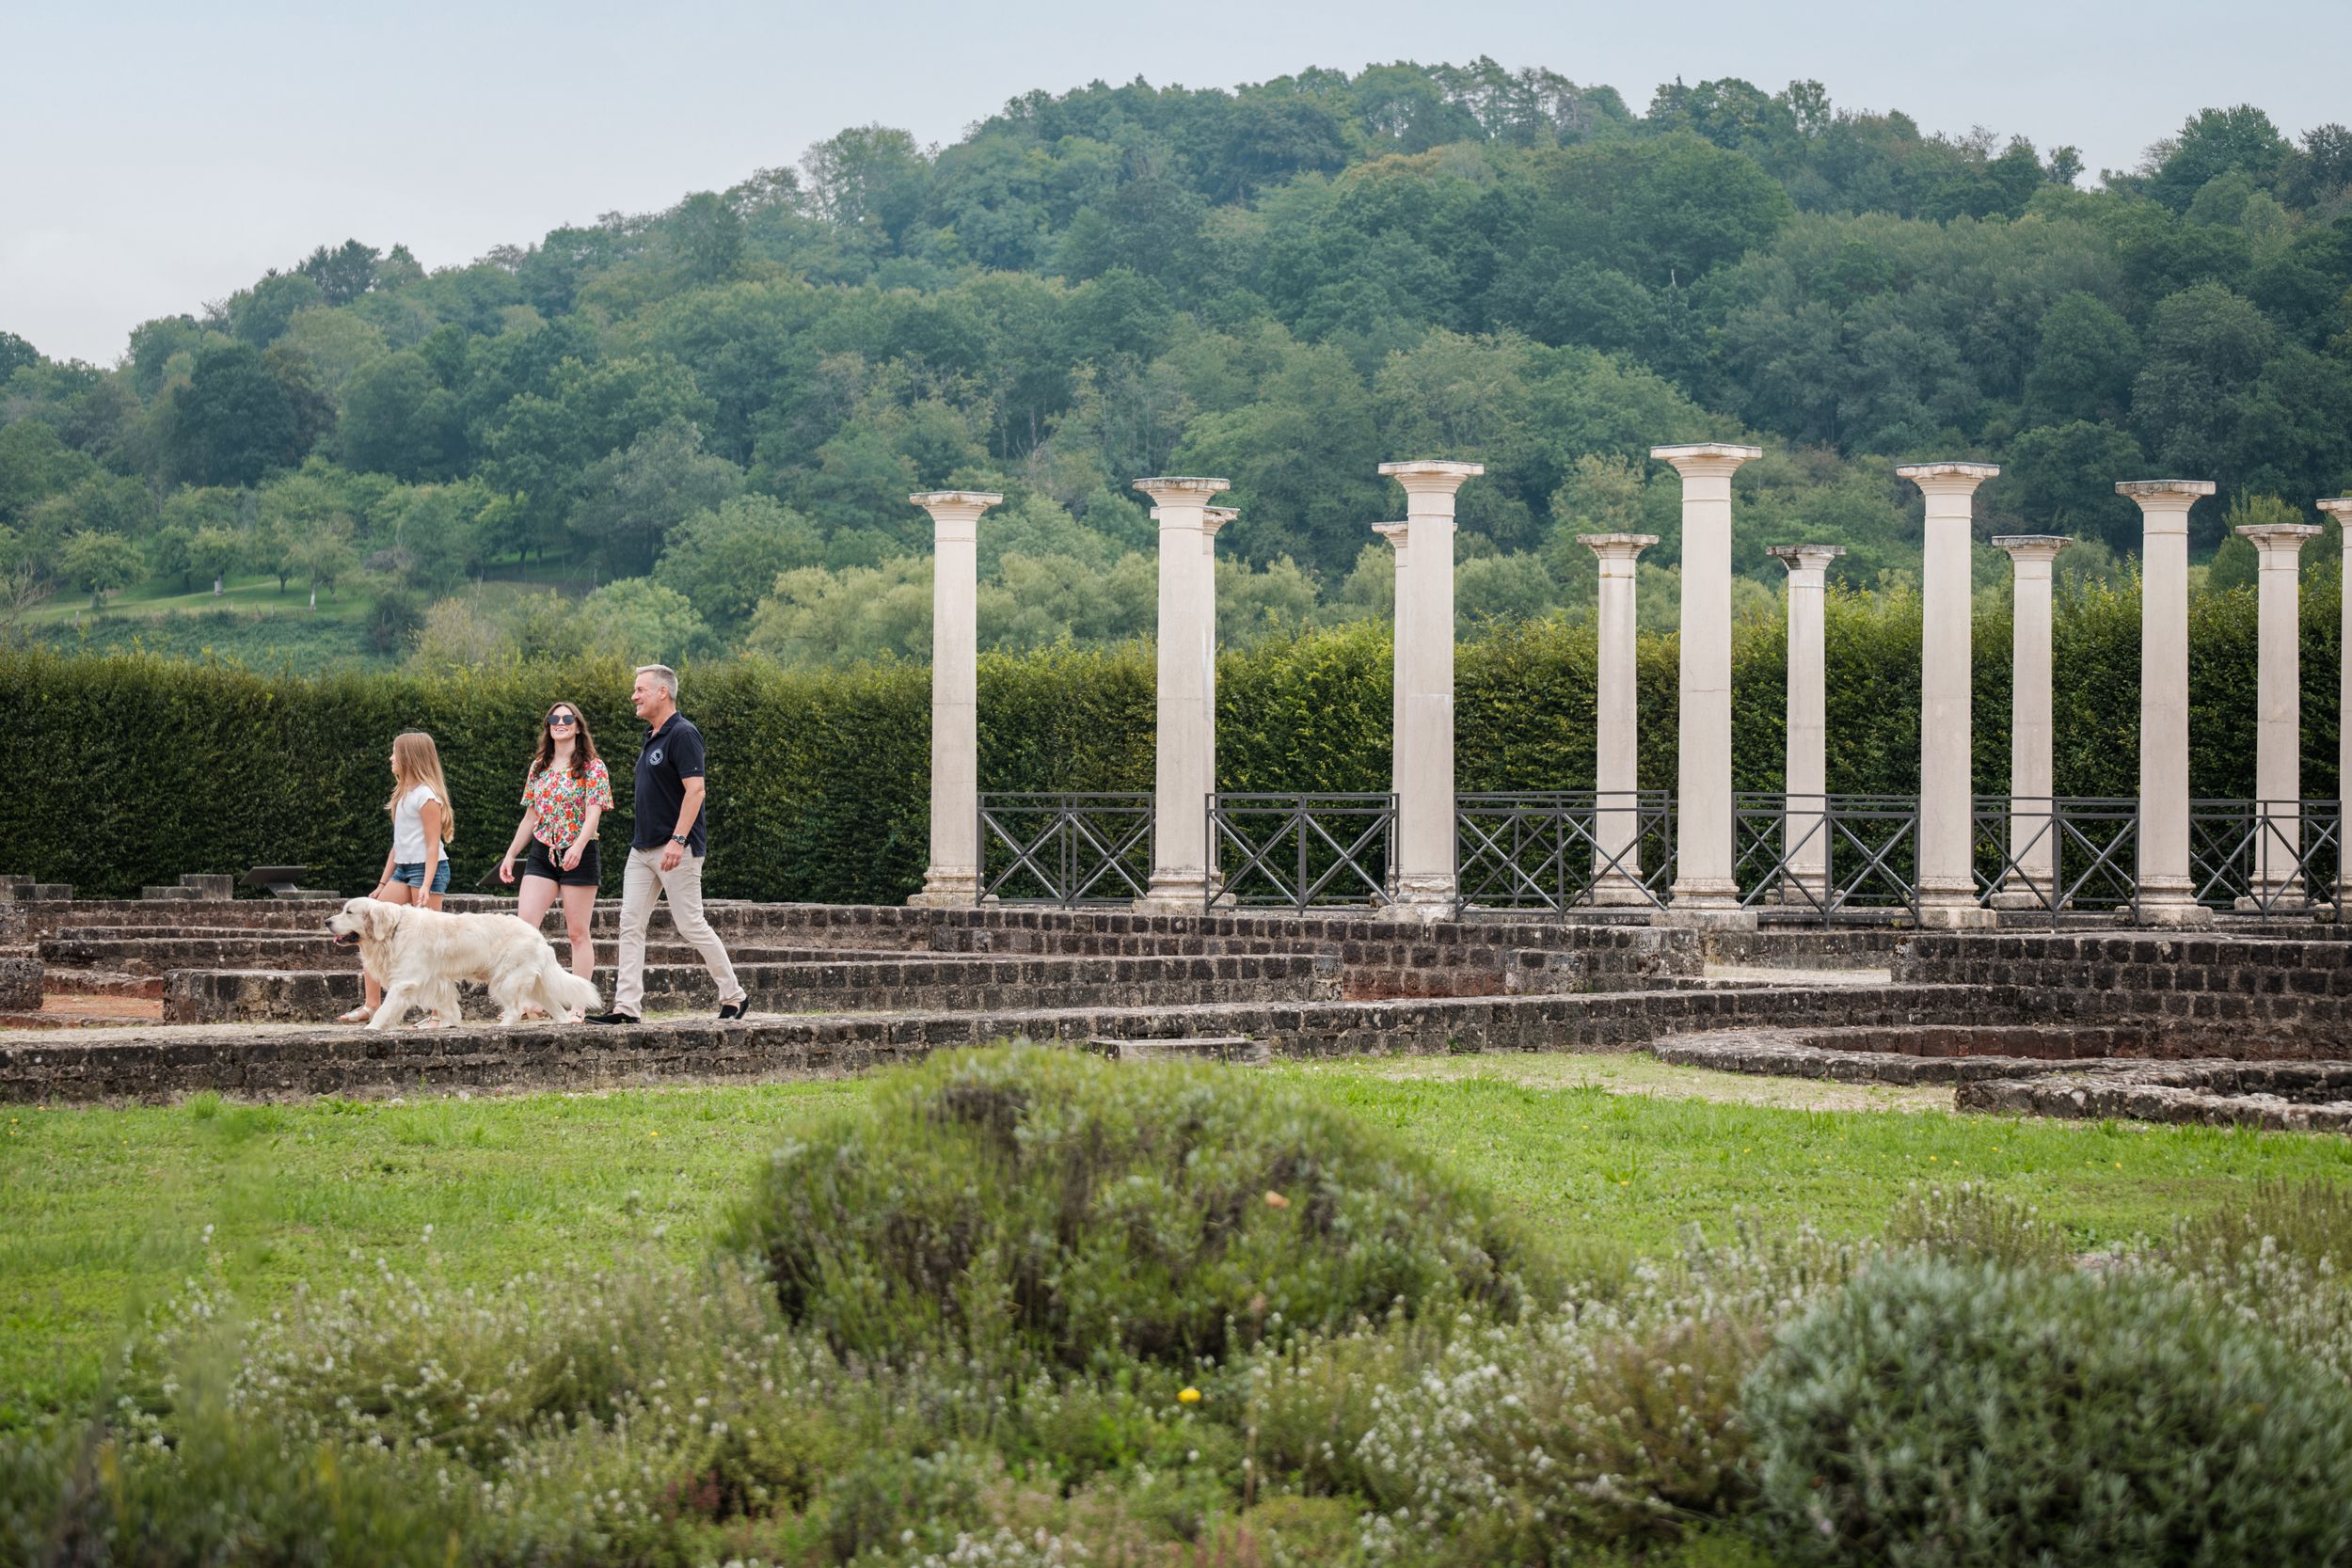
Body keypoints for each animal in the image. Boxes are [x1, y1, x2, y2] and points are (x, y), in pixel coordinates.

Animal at [326, 893, 602, 1029]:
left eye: (349, 912)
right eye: (342, 910)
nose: (327, 921)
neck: (392, 930)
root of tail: (539, 937)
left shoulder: (405, 982)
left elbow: (386, 1008)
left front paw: (371, 1029)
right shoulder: (436, 981)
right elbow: (447, 1005)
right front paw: (448, 1024)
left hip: (505, 981)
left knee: (514, 1010)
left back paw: (502, 1027)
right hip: (535, 984)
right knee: (556, 1008)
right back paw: (563, 1024)